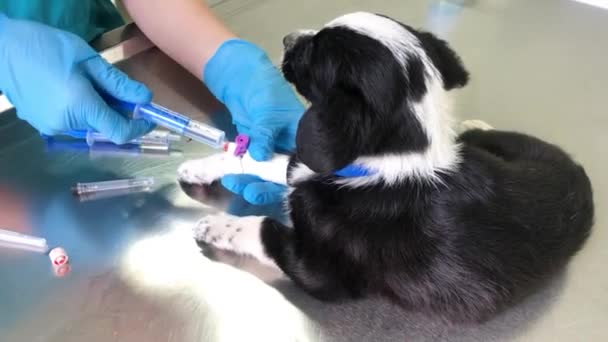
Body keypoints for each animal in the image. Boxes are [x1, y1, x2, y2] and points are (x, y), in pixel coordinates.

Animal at [177, 12, 592, 324]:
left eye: (315, 52)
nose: (287, 38)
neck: (383, 166)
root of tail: (576, 170)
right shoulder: (307, 166)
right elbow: (262, 159)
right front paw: (202, 165)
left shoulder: (320, 271)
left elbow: (264, 228)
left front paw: (216, 225)